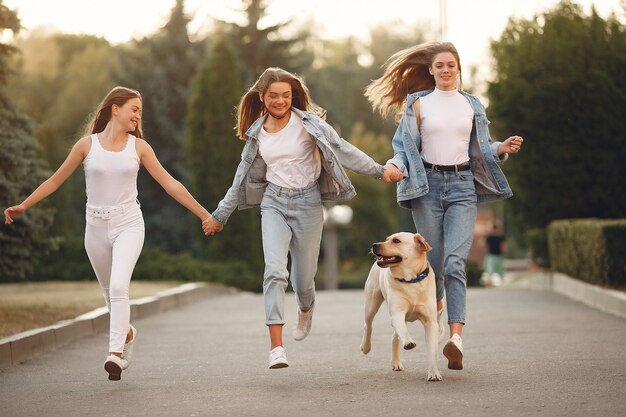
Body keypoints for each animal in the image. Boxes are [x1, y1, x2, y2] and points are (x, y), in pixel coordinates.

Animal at [358, 231, 442, 380]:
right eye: (386, 239)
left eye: (396, 241)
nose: (374, 245)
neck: (410, 281)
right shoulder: (397, 314)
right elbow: (403, 330)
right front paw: (408, 342)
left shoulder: (431, 322)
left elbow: (432, 351)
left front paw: (433, 372)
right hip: (371, 303)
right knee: (368, 325)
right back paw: (366, 346)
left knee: (394, 337)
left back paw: (396, 362)